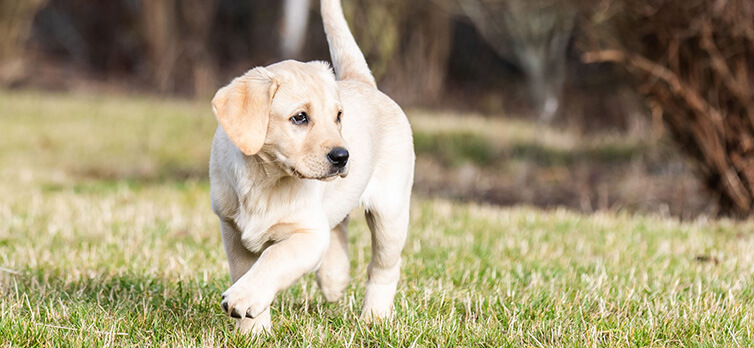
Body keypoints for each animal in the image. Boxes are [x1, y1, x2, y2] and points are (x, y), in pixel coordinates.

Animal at [209, 0, 414, 334]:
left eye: (338, 116)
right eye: (300, 117)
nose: (343, 156)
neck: (265, 178)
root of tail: (362, 81)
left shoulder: (308, 234)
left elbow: (274, 258)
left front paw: (243, 298)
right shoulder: (233, 231)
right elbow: (245, 269)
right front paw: (254, 330)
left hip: (391, 213)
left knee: (384, 267)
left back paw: (375, 316)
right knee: (339, 224)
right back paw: (334, 279)